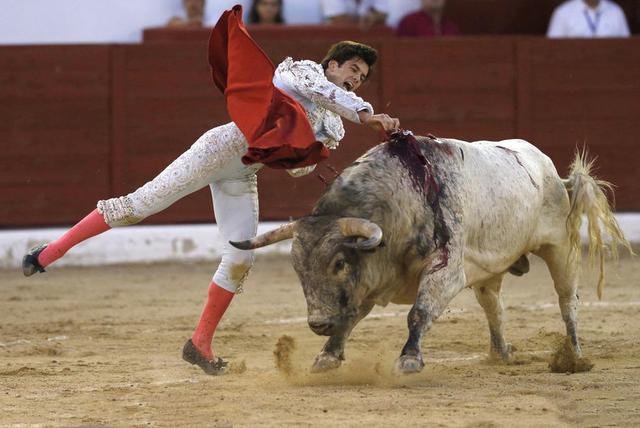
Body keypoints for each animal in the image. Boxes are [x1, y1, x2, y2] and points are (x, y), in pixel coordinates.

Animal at [230, 132, 632, 372]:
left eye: (340, 262)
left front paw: (409, 358)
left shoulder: (447, 270)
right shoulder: (372, 280)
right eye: (297, 268)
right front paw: (327, 356)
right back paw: (501, 353)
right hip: (488, 271)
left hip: (560, 246)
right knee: (494, 308)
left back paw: (574, 356)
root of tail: (551, 170)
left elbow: (419, 312)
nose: (318, 323)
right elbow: (353, 315)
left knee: (568, 301)